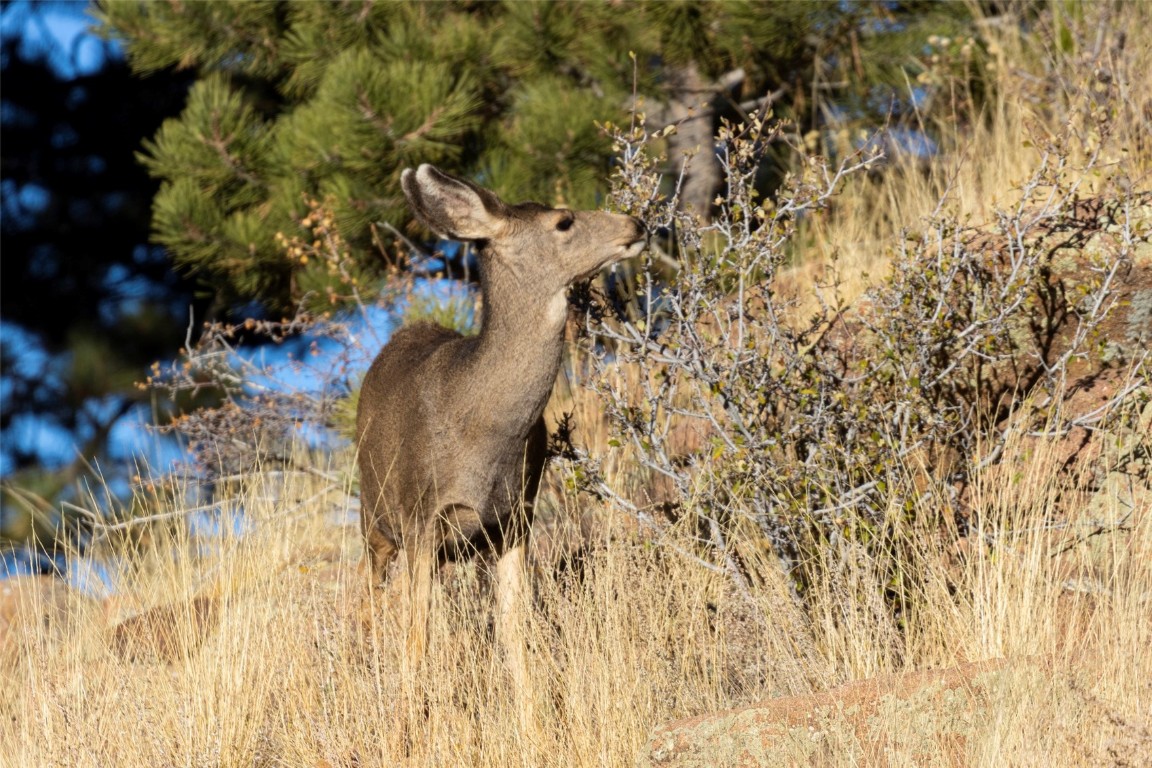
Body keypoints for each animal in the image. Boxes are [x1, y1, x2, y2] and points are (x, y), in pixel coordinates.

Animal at [355, 164, 646, 687]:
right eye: (564, 221)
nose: (635, 222)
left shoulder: (514, 519)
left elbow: (515, 633)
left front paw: (532, 711)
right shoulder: (420, 517)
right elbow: (416, 642)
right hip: (375, 518)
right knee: (367, 603)